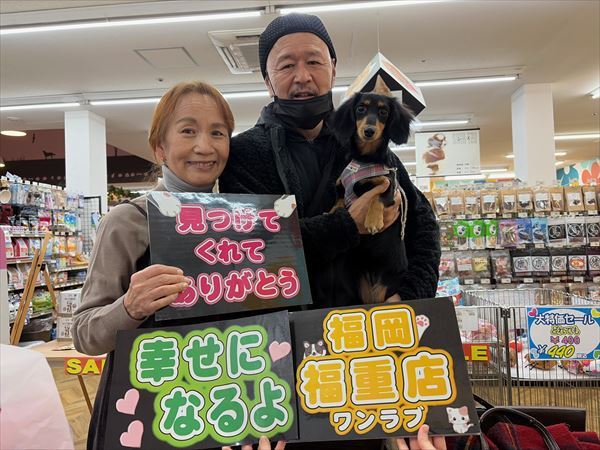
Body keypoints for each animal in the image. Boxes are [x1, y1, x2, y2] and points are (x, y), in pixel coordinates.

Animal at [331, 75, 414, 304]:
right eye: (361, 108)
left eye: (384, 112)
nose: (369, 131)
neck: (365, 159)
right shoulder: (342, 186)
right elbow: (339, 200)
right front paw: (332, 212)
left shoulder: (391, 187)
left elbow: (378, 197)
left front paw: (373, 220)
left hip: (388, 287)